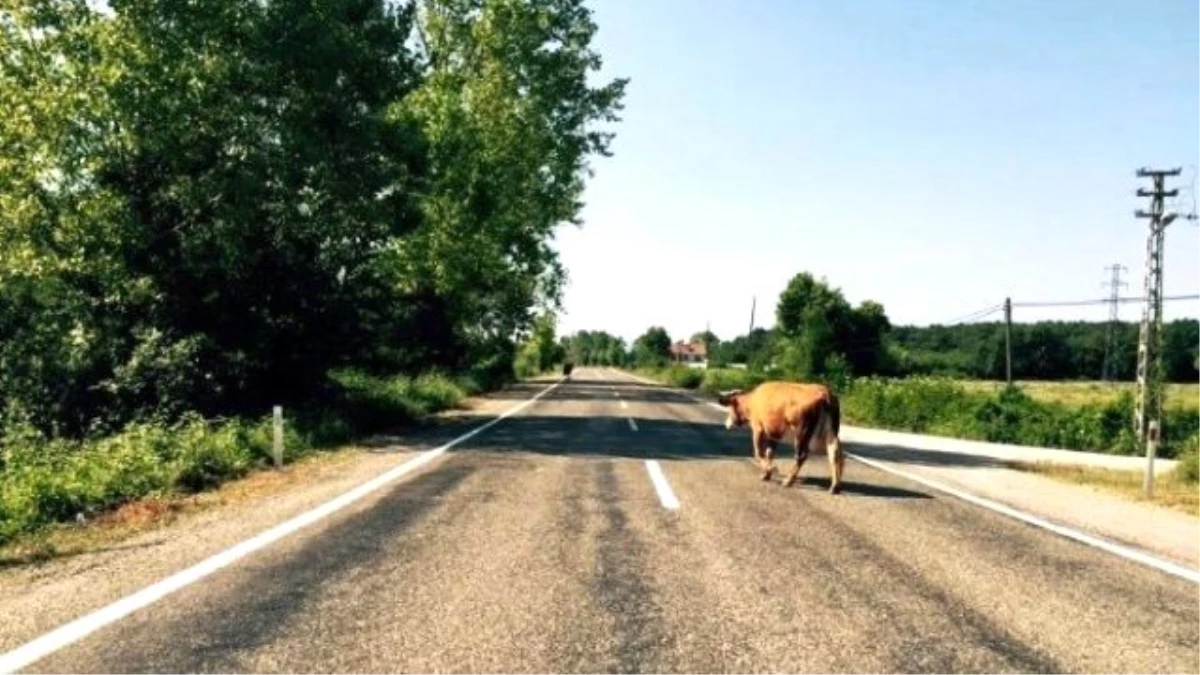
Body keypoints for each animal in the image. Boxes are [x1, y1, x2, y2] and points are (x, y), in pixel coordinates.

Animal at [715, 381, 849, 492]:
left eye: (731, 407)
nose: (727, 423)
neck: (752, 402)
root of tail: (824, 392)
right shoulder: (774, 434)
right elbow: (769, 452)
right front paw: (766, 474)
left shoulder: (758, 428)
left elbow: (759, 452)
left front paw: (771, 469)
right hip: (831, 432)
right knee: (835, 453)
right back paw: (835, 486)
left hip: (802, 432)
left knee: (801, 456)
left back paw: (788, 481)